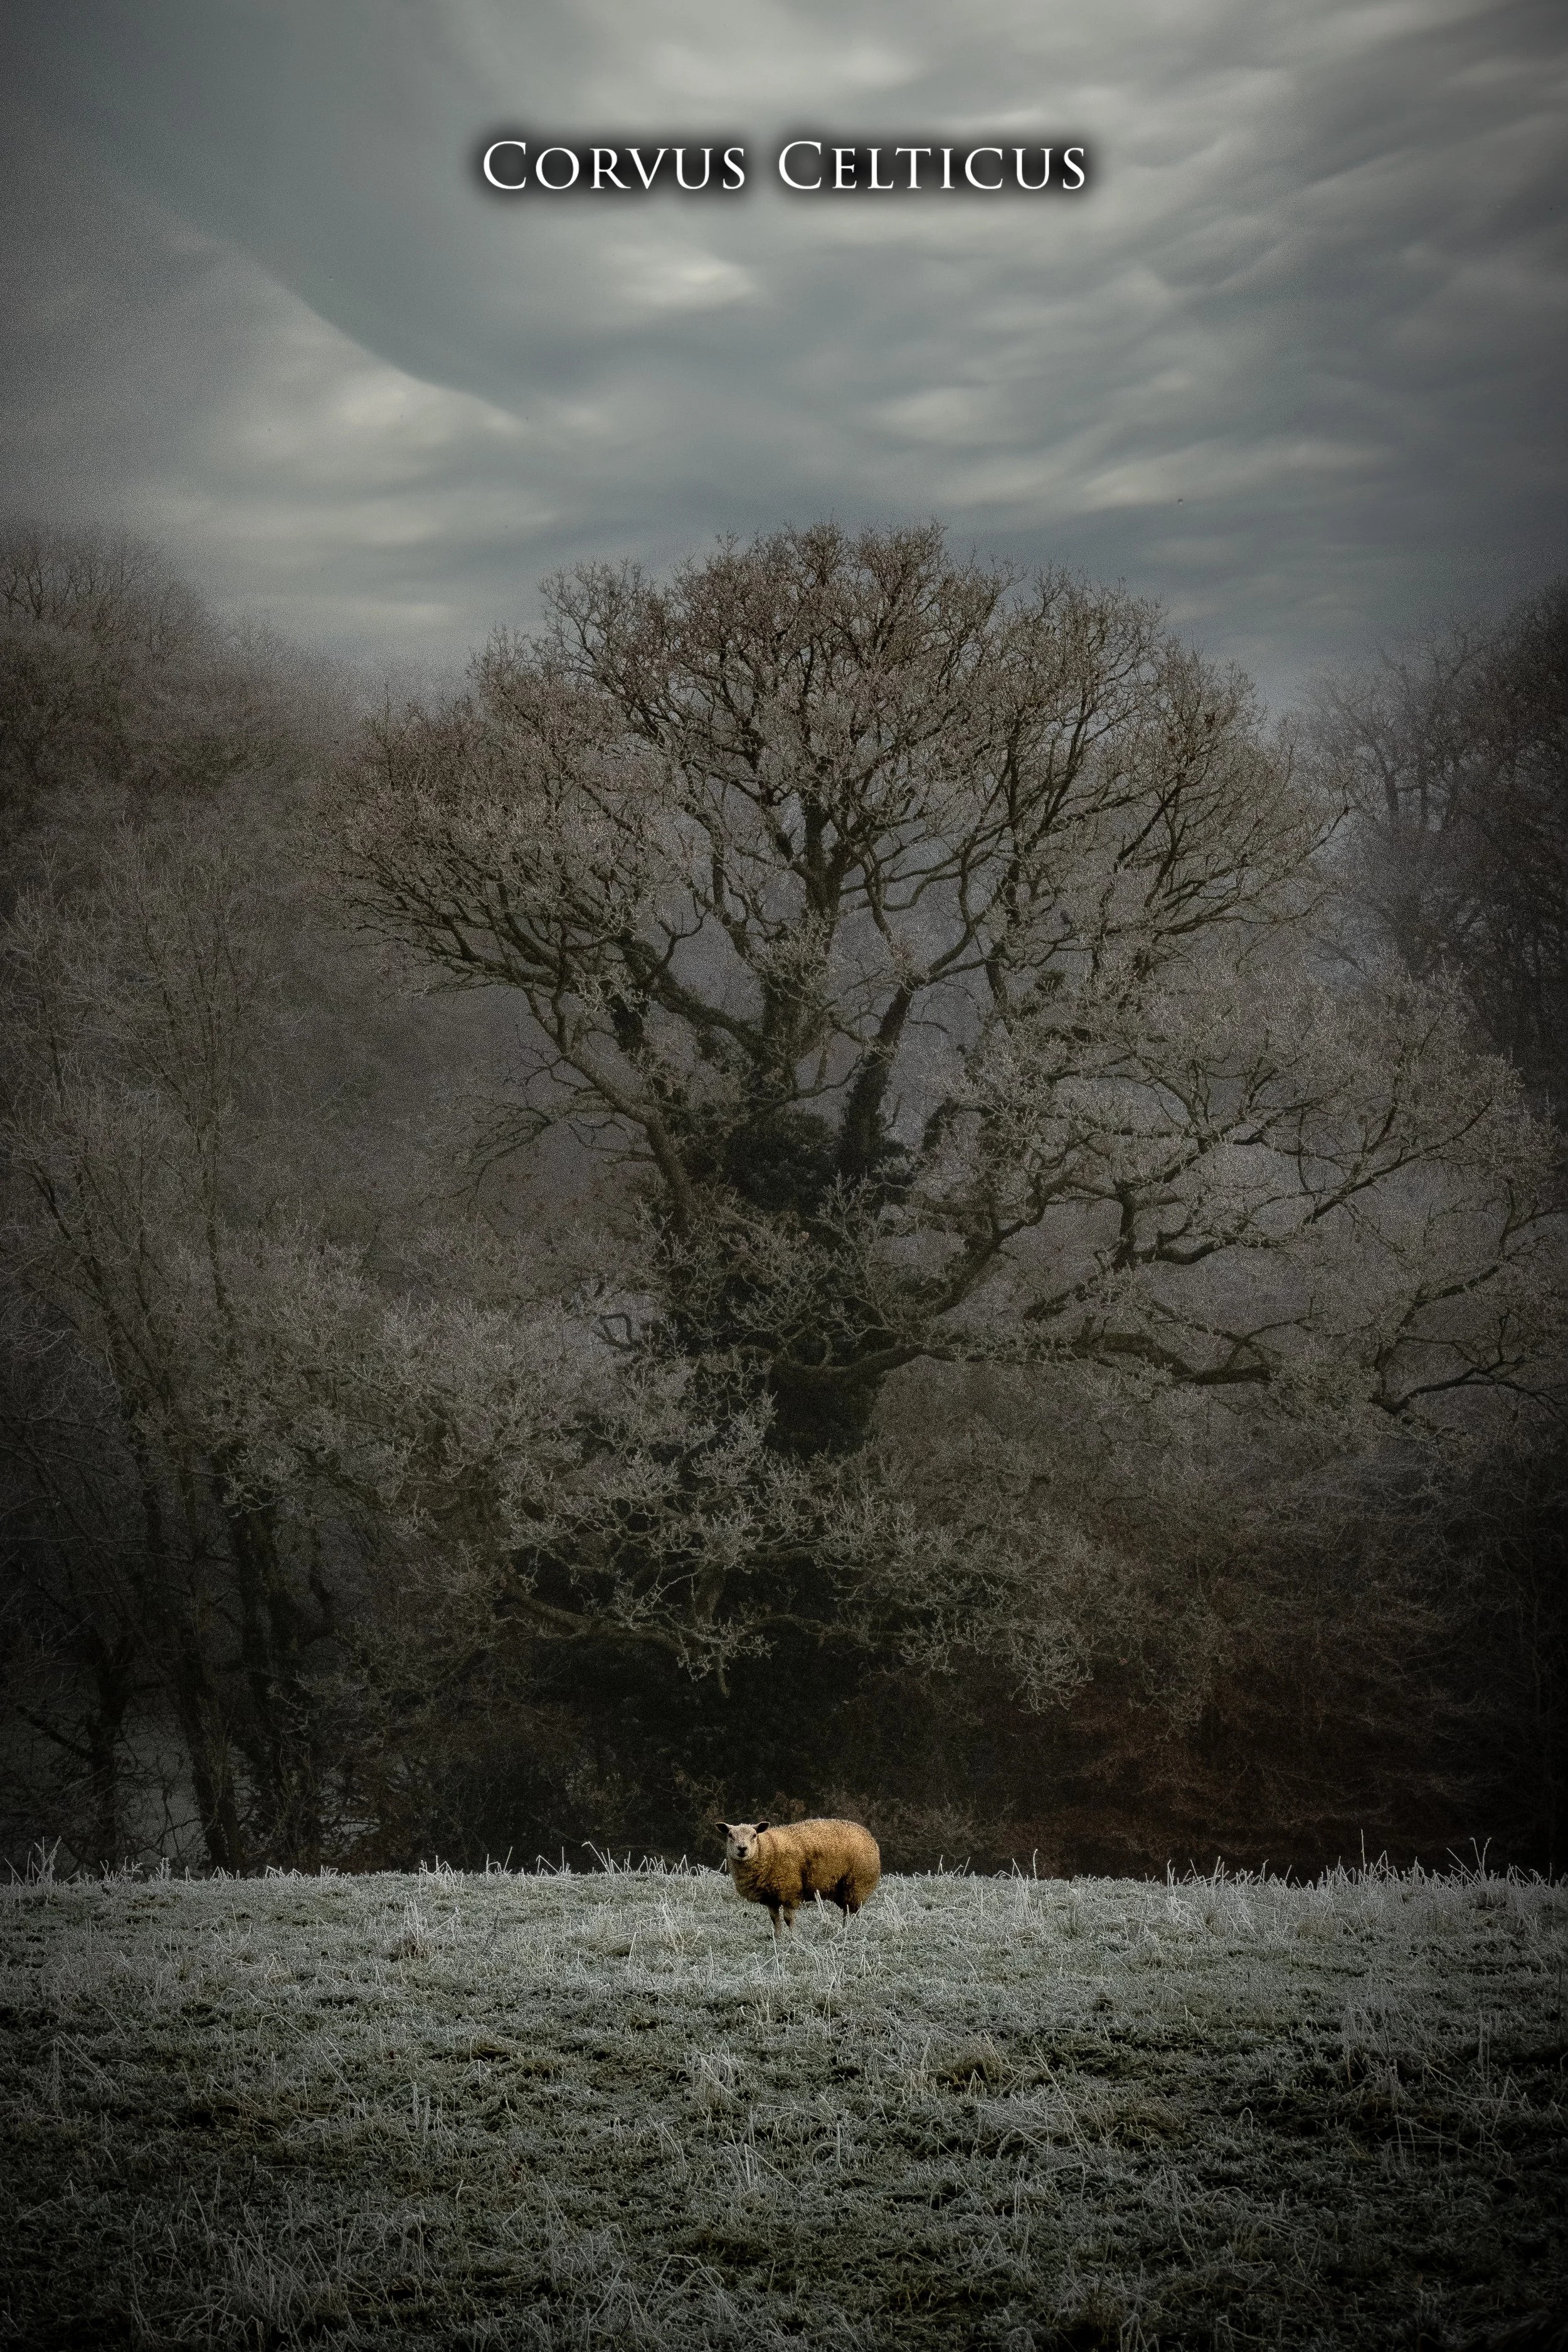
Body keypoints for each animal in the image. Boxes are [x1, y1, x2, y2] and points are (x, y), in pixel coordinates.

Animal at [717, 1817, 881, 1939]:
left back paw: (851, 1931)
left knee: (853, 1911)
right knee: (848, 1911)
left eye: (754, 1835)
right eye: (730, 1835)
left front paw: (794, 1938)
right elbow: (775, 1919)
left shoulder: (790, 1891)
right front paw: (778, 1938)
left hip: (857, 1884)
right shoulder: (771, 1897)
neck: (768, 1850)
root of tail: (868, 1835)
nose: (742, 1849)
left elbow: (788, 1919)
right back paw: (845, 1930)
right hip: (844, 1889)